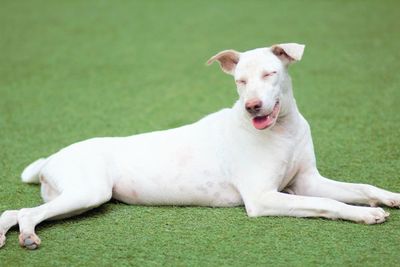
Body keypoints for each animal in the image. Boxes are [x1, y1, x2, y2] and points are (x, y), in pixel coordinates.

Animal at [0, 43, 400, 250]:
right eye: (239, 81)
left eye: (270, 73)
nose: (252, 106)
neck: (281, 130)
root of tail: (51, 158)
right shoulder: (264, 198)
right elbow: (327, 204)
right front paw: (365, 215)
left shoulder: (306, 181)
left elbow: (360, 187)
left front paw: (390, 197)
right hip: (89, 191)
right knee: (28, 214)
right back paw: (29, 237)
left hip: (79, 198)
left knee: (14, 212)